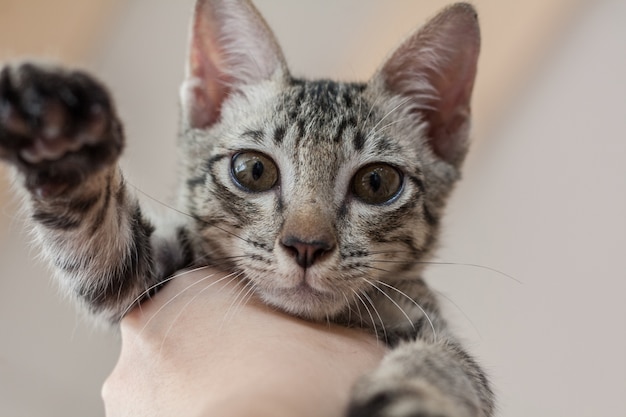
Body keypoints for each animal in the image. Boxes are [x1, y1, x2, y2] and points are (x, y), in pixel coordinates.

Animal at [0, 0, 492, 416]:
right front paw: (63, 140)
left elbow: (455, 365)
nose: (306, 246)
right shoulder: (141, 275)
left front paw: (420, 396)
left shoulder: (430, 323)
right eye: (254, 171)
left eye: (377, 183)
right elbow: (102, 245)